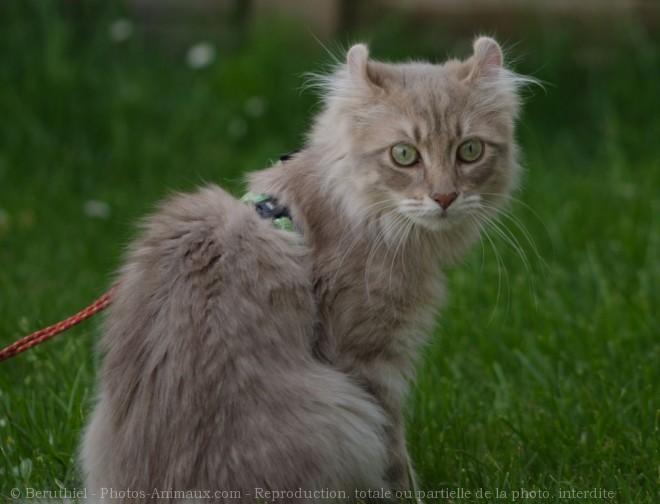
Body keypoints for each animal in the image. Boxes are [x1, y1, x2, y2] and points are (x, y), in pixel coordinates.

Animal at [80, 35, 532, 500]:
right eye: (404, 155)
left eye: (469, 151)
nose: (444, 197)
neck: (358, 212)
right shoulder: (367, 362)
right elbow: (395, 460)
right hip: (344, 413)